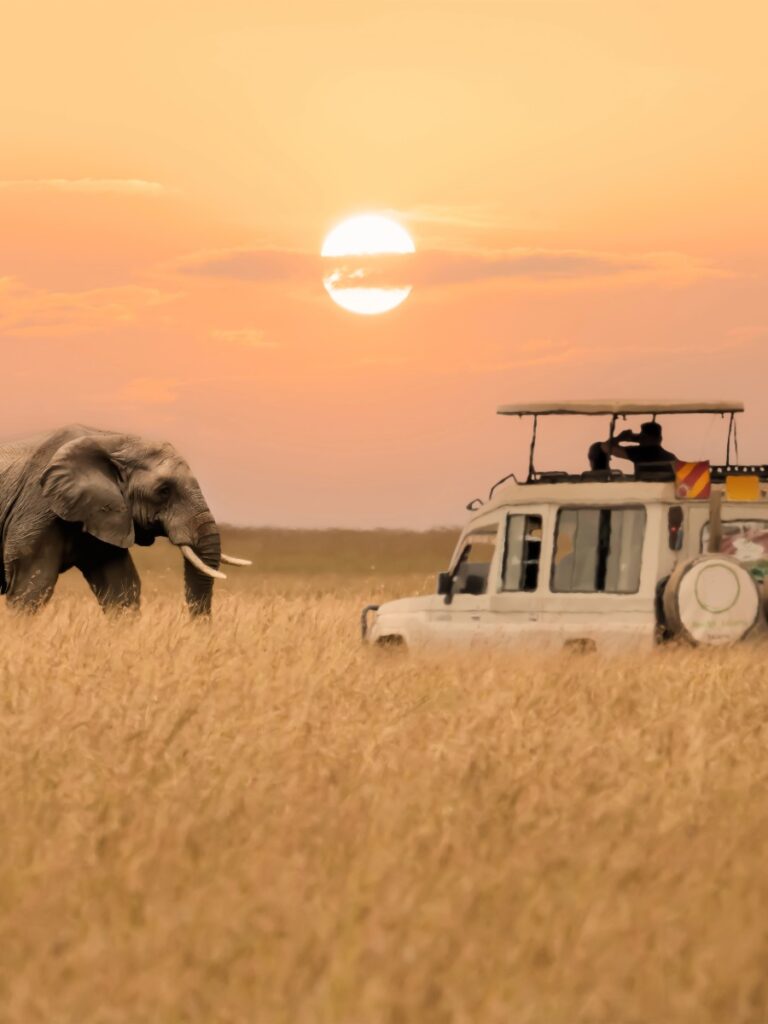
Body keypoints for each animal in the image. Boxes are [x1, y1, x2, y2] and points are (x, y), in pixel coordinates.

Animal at [0, 424, 250, 614]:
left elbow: (120, 588)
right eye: (164, 491)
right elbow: (30, 588)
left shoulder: (105, 515)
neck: (112, 440)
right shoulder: (38, 509)